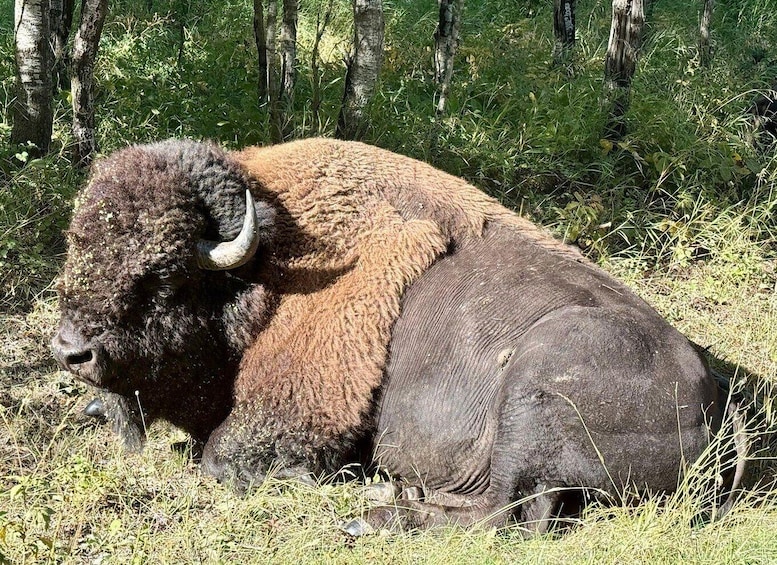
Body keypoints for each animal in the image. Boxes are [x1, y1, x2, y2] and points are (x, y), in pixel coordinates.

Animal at [52, 138, 740, 534]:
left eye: (164, 273)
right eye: (79, 245)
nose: (70, 350)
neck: (267, 273)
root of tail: (718, 403)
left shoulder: (291, 411)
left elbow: (221, 459)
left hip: (533, 387)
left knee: (508, 514)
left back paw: (377, 508)